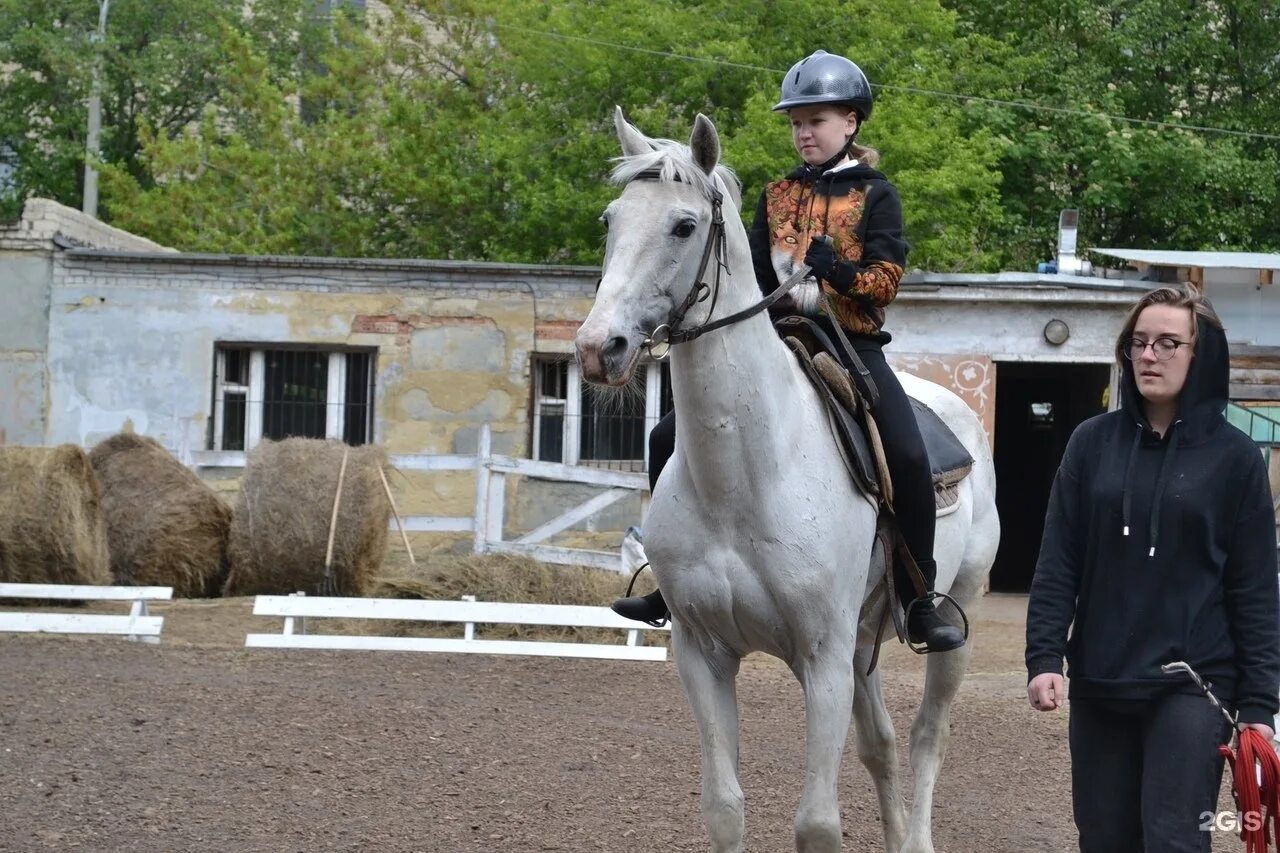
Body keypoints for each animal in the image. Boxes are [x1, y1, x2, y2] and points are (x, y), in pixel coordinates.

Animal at [576, 108, 1003, 850]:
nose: (600, 348)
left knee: (927, 737)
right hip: (862, 642)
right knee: (883, 747)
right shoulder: (705, 653)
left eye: (683, 225)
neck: (745, 476)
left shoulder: (822, 659)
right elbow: (724, 807)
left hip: (957, 617)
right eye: (611, 219)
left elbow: (817, 824)